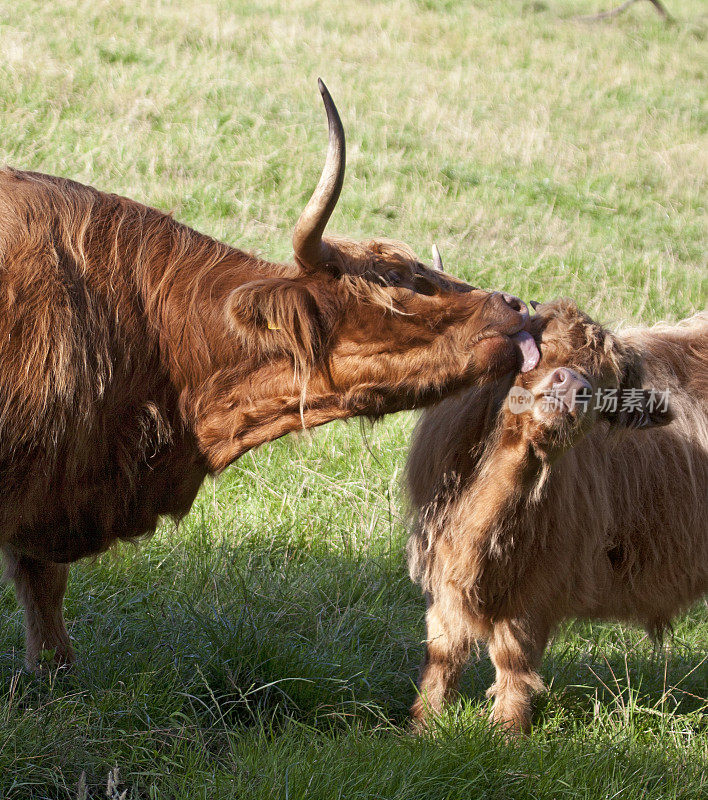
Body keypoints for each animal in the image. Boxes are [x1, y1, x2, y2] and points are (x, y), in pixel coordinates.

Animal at [406, 302, 704, 736]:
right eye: (545, 349)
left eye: (607, 385)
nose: (572, 385)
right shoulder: (440, 564)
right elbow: (443, 651)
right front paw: (423, 724)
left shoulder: (539, 579)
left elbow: (514, 659)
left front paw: (507, 731)